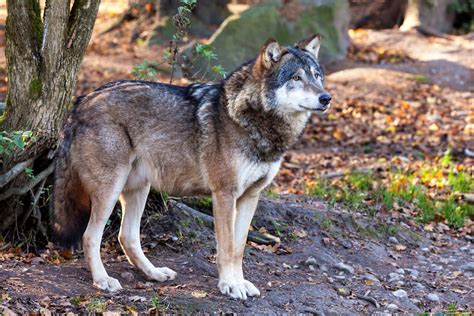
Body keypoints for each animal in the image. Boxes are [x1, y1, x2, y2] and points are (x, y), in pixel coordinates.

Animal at [52, 35, 330, 300]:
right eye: (296, 77)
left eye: (317, 76)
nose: (326, 97)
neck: (253, 120)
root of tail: (81, 101)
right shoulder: (224, 194)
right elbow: (227, 248)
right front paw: (230, 286)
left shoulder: (251, 196)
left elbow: (239, 249)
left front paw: (241, 283)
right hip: (110, 190)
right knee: (90, 237)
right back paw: (103, 280)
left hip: (139, 189)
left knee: (127, 237)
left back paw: (154, 273)